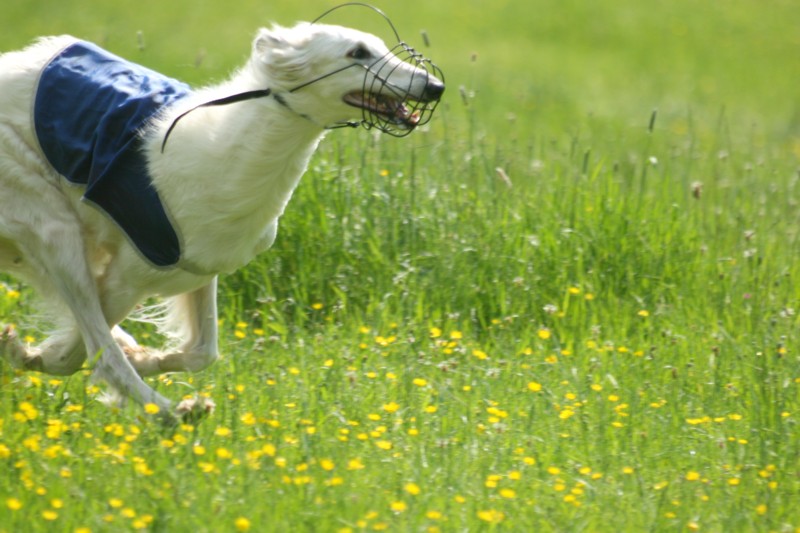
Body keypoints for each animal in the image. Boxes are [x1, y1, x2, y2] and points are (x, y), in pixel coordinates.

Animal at [0, 20, 444, 424]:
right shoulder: (126, 274)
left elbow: (201, 352)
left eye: (378, 45)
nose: (435, 87)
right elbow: (83, 352)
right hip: (53, 225)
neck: (230, 151)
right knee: (98, 347)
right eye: (357, 53)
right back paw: (171, 412)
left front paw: (143, 356)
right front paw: (33, 353)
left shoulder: (198, 268)